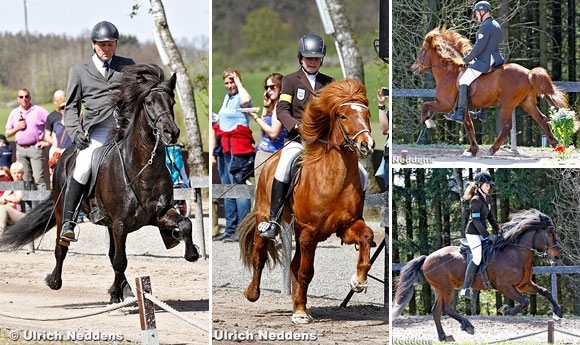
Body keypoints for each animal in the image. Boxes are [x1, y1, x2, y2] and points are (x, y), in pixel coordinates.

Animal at [0, 63, 199, 300]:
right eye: (149, 103)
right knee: (62, 246)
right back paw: (55, 281)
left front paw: (192, 253)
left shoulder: (159, 215)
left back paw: (126, 289)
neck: (142, 169)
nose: (172, 133)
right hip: (63, 211)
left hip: (109, 224)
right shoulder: (120, 223)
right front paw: (114, 294)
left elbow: (185, 223)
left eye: (172, 102)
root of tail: (63, 156)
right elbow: (120, 261)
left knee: (111, 253)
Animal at [237, 78, 376, 322]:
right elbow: (305, 272)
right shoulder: (310, 231)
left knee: (292, 265)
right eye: (343, 116)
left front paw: (358, 281)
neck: (333, 179)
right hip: (267, 217)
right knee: (259, 257)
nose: (366, 145)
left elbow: (366, 236)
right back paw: (253, 293)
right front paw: (301, 313)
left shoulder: (346, 226)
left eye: (367, 114)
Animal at [390, 207, 560, 342]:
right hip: (446, 288)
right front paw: (506, 310)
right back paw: (467, 326)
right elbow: (524, 302)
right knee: (446, 309)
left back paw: (444, 336)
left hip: (440, 289)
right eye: (549, 234)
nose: (557, 256)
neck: (515, 252)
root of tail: (427, 258)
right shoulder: (505, 287)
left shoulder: (524, 284)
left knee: (436, 311)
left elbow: (545, 292)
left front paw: (558, 313)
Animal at [410, 26, 568, 156]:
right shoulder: (462, 108)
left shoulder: (445, 104)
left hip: (507, 104)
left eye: (422, 52)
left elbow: (425, 105)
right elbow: (469, 127)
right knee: (542, 120)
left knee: (507, 126)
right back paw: (555, 144)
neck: (449, 73)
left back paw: (493, 148)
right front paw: (472, 150)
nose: (413, 68)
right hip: (527, 103)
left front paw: (427, 122)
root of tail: (528, 73)